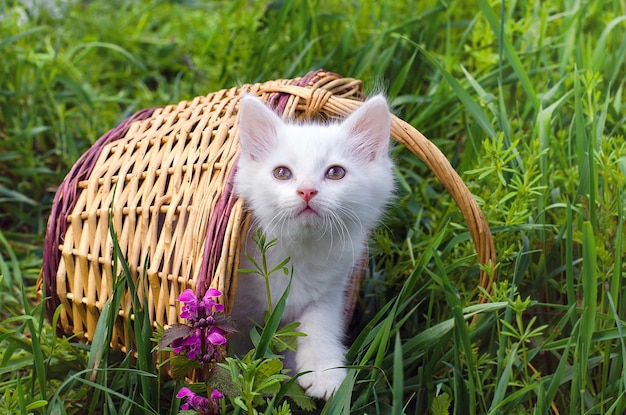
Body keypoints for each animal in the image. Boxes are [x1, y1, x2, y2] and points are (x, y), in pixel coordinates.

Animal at [232, 94, 392, 400]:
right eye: (282, 173)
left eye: (336, 173)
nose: (307, 190)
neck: (298, 250)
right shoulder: (238, 308)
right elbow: (239, 345)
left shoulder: (330, 290)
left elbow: (320, 324)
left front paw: (323, 371)